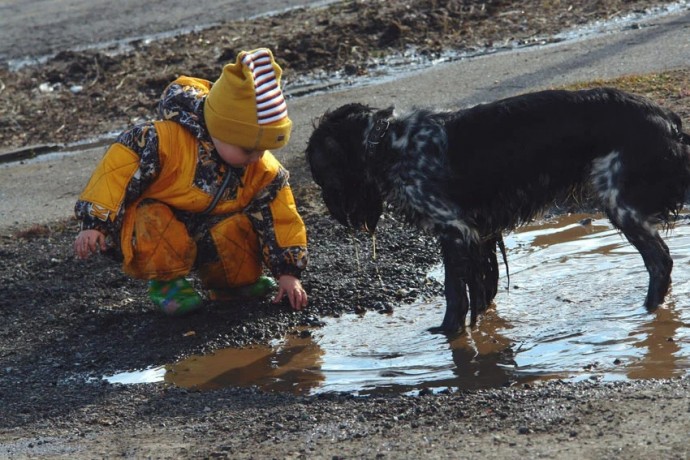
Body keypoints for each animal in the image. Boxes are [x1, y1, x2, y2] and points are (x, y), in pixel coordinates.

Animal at [306, 87, 688, 330]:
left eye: (320, 174)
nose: (333, 210)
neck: (391, 143)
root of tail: (666, 116)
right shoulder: (482, 231)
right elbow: (484, 288)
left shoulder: (455, 231)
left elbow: (455, 294)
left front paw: (448, 333)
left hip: (619, 203)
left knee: (660, 261)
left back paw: (647, 311)